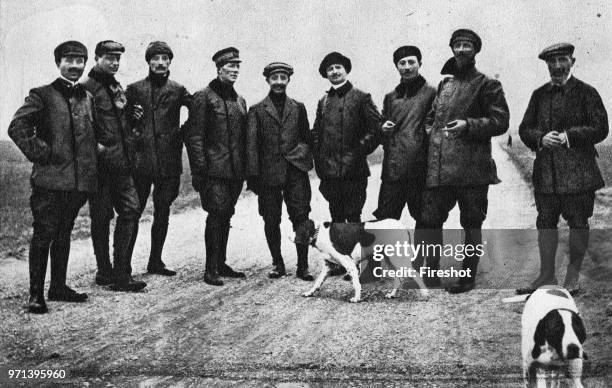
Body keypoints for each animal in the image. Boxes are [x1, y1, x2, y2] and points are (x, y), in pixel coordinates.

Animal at [290, 218, 428, 304]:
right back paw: (392, 294)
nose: (289, 236)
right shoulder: (329, 265)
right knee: (398, 278)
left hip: (397, 258)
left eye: (298, 229)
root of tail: (403, 227)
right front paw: (309, 293)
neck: (319, 233)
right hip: (390, 259)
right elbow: (317, 282)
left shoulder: (349, 264)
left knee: (415, 274)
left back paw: (425, 294)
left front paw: (356, 298)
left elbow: (356, 284)